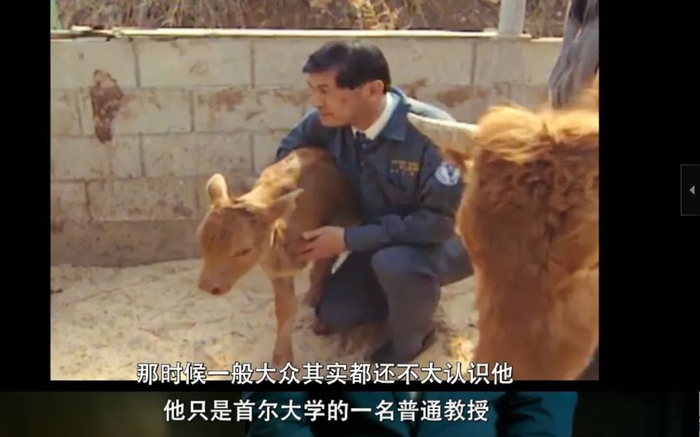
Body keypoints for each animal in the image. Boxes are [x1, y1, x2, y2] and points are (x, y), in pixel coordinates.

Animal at [196, 146, 359, 368]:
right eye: (201, 239)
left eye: (244, 250)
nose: (207, 285)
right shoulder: (277, 268)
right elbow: (284, 308)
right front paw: (281, 359)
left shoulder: (332, 235)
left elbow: (321, 274)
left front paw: (320, 322)